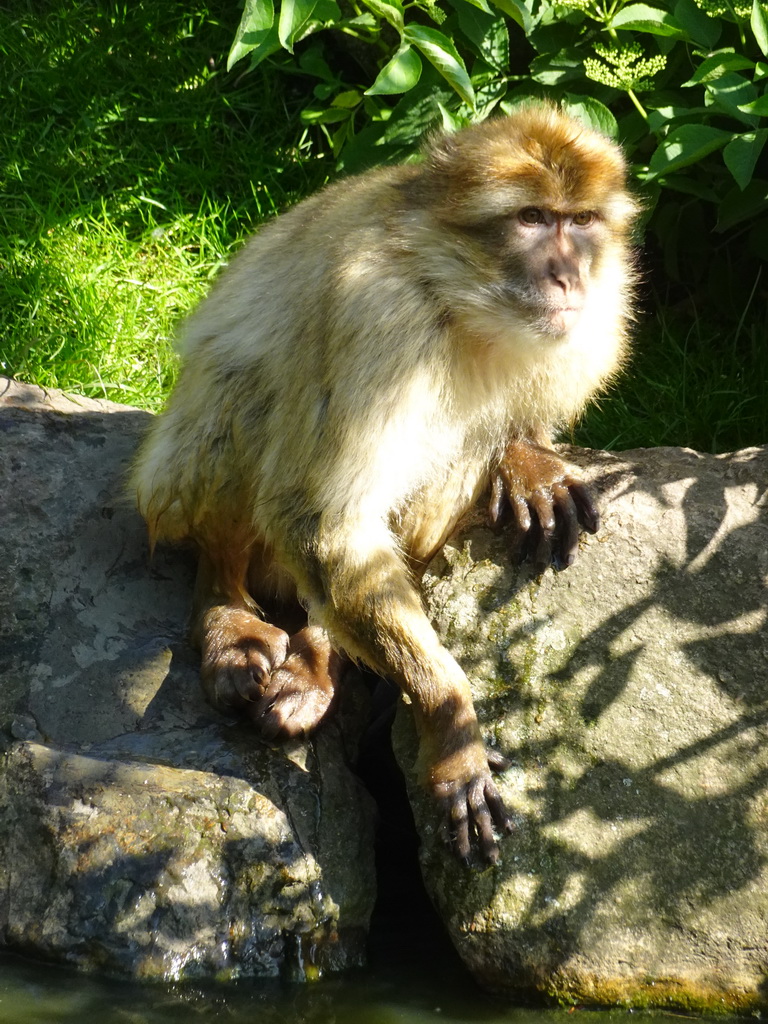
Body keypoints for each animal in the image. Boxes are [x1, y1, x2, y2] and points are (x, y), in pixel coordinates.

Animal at [132, 105, 638, 864]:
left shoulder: (593, 314)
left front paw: (528, 460)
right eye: (530, 218)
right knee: (245, 397)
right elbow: (319, 519)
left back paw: (319, 655)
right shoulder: (379, 314)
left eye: (579, 221)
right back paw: (225, 605)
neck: (461, 301)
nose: (566, 275)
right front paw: (451, 725)